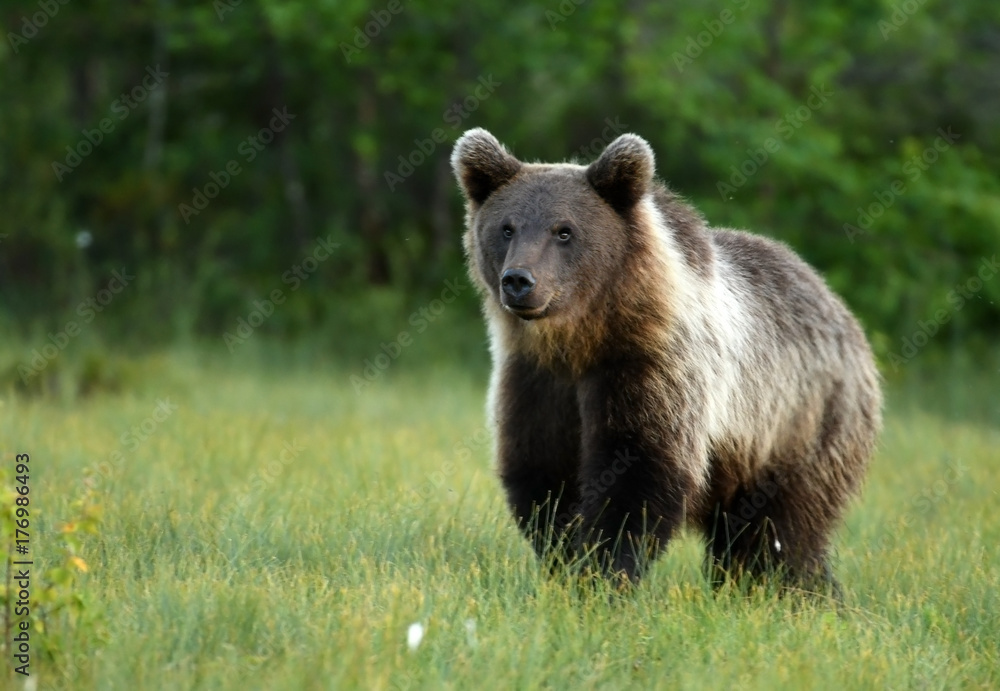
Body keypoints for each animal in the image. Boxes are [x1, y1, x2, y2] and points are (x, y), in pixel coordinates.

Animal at [450, 128, 882, 591]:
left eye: (564, 231)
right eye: (506, 228)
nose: (518, 281)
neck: (582, 339)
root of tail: (839, 307)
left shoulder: (653, 367)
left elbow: (637, 473)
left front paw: (603, 575)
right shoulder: (536, 378)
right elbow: (544, 473)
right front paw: (564, 564)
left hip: (799, 424)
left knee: (779, 533)